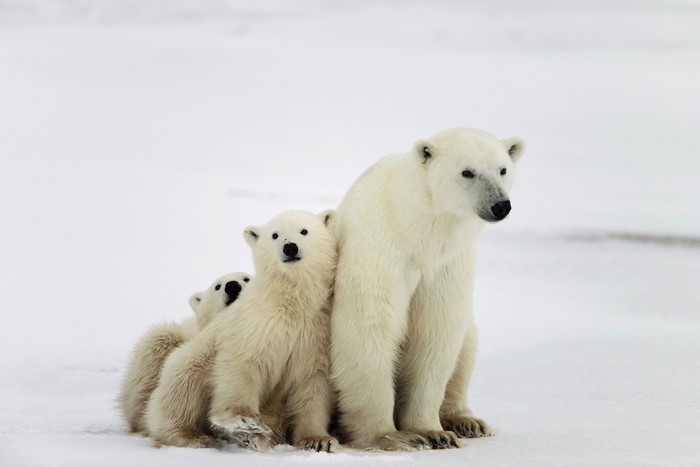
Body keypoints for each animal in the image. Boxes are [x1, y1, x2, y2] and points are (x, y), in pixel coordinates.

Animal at [145, 210, 338, 453]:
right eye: (275, 235)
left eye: (304, 230)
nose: (290, 248)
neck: (290, 303)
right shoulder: (254, 324)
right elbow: (242, 363)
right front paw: (246, 424)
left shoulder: (314, 332)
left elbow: (312, 383)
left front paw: (318, 440)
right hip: (191, 360)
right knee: (183, 390)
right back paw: (193, 437)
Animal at [329, 128, 524, 450]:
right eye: (467, 172)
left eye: (503, 169)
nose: (500, 205)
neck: (416, 229)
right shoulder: (379, 248)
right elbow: (369, 325)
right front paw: (392, 437)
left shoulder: (447, 263)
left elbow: (435, 331)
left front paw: (433, 432)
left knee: (467, 345)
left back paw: (467, 421)